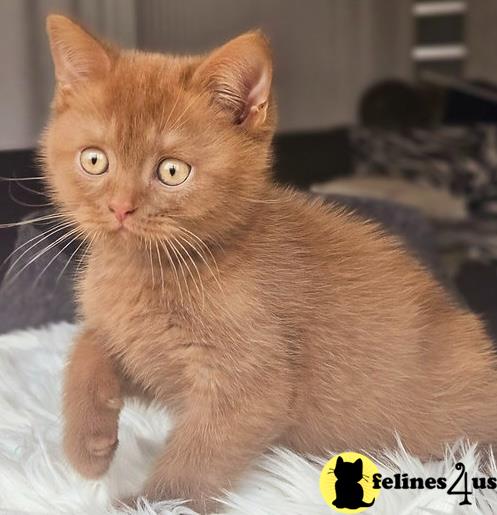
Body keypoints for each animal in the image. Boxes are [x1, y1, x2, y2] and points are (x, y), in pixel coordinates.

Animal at [41, 14, 496, 512]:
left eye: (172, 171)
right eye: (94, 159)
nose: (120, 208)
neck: (147, 271)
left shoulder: (251, 387)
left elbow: (197, 457)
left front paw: (150, 502)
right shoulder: (151, 356)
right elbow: (89, 343)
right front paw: (88, 444)